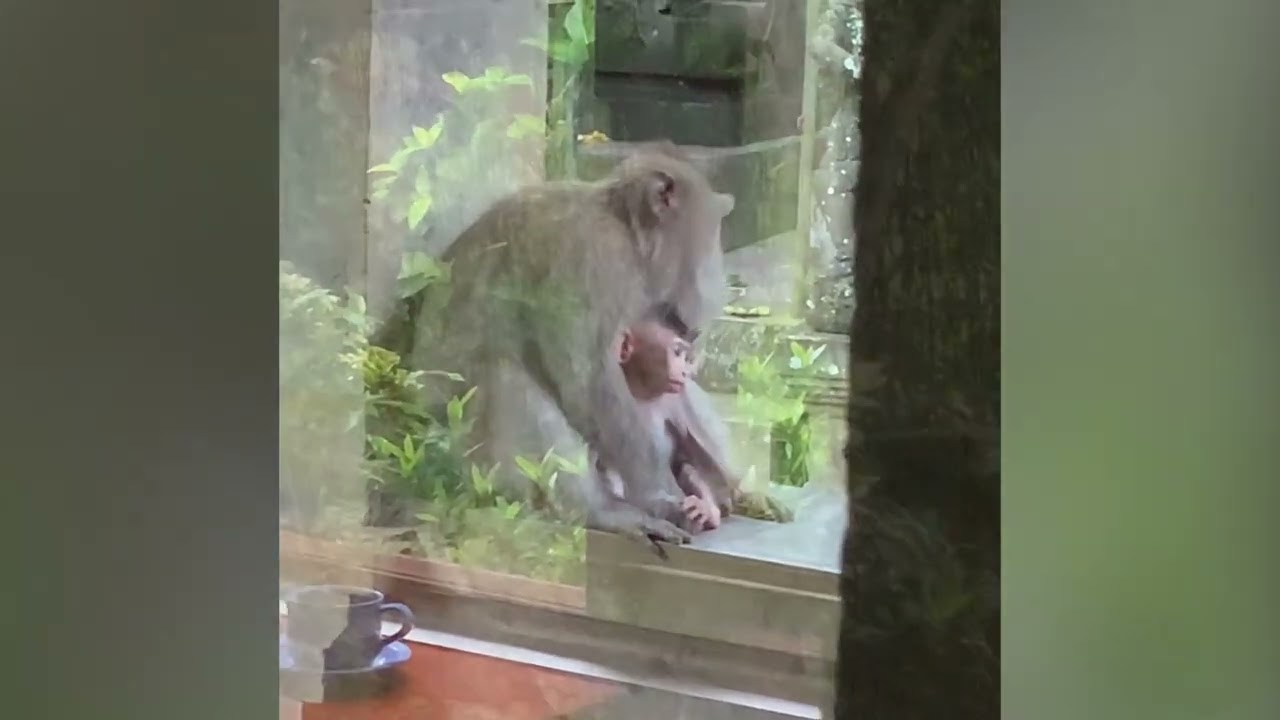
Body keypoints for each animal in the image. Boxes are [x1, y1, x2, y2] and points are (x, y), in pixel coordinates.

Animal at [390, 142, 736, 545]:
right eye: (710, 230)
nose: (719, 277)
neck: (625, 230)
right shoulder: (597, 262)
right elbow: (590, 381)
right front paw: (660, 495)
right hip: (466, 461)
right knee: (502, 377)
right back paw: (598, 511)